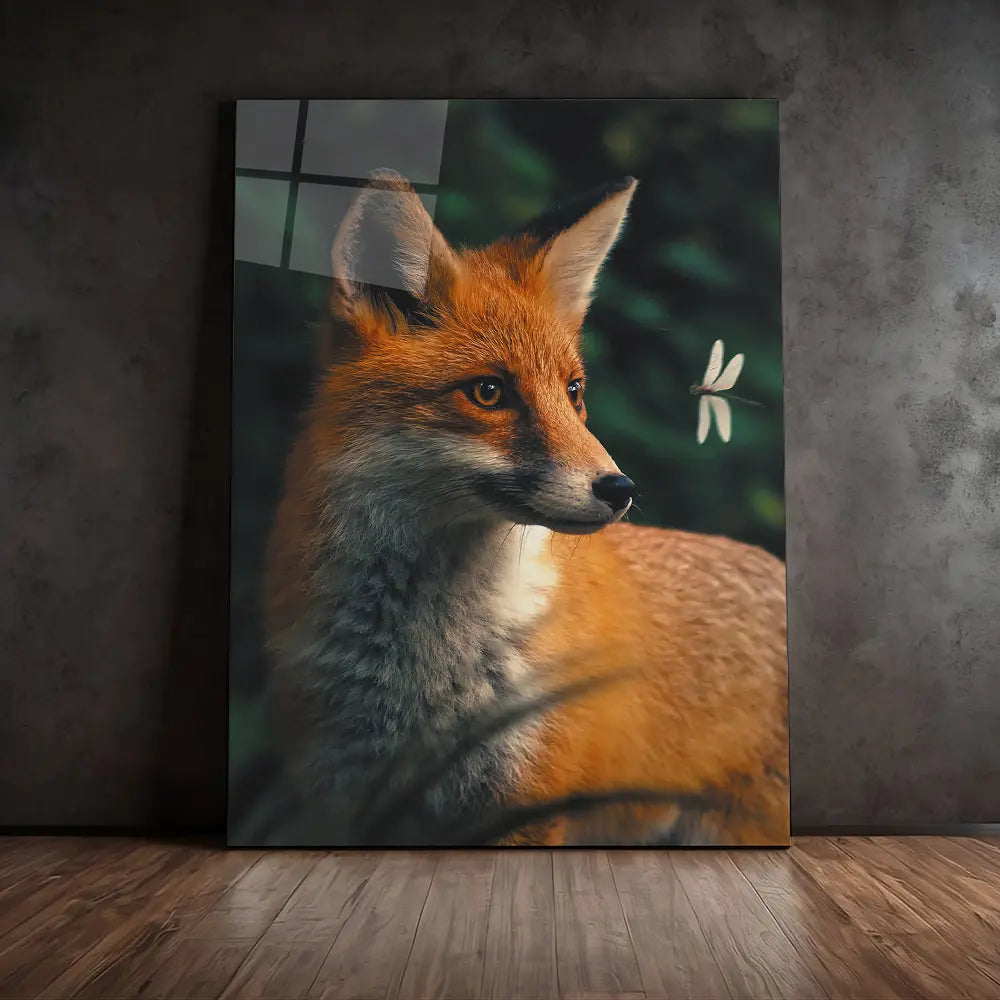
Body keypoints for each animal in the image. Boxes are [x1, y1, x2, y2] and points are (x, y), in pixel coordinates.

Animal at [261, 168, 789, 847]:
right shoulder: (342, 796)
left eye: (574, 391)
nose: (620, 489)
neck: (420, 668)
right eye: (489, 392)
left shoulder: (526, 799)